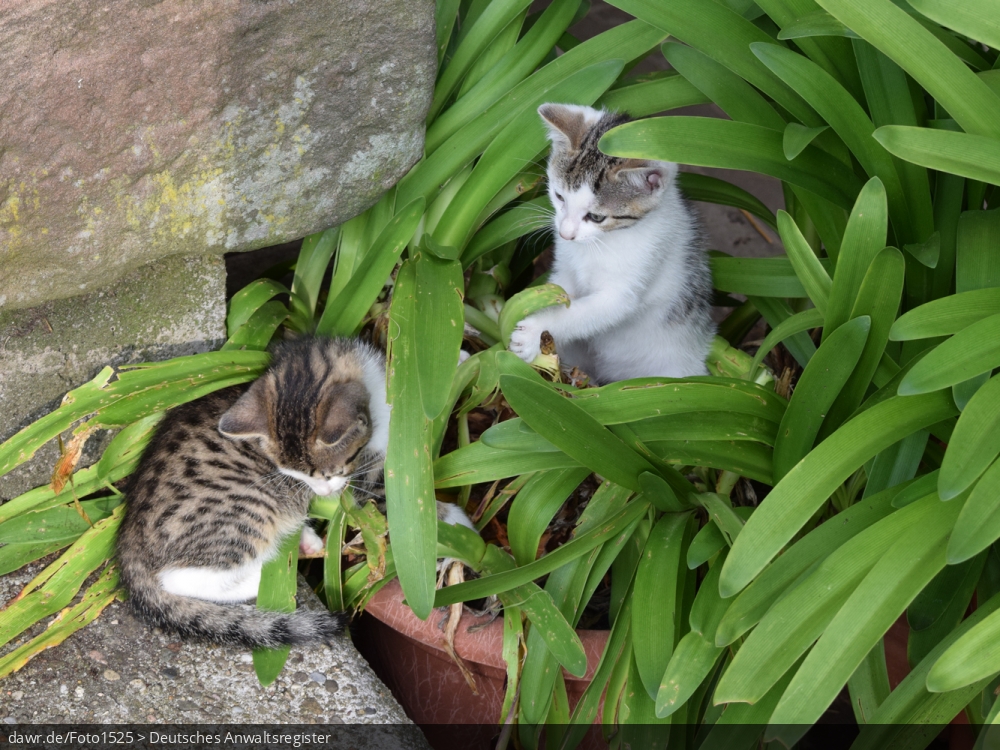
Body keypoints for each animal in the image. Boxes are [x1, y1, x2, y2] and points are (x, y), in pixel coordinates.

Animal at [512, 103, 716, 384]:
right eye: (559, 196)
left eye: (597, 217)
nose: (565, 234)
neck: (602, 242)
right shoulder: (565, 268)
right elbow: (559, 291)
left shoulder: (627, 287)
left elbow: (579, 313)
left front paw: (533, 332)